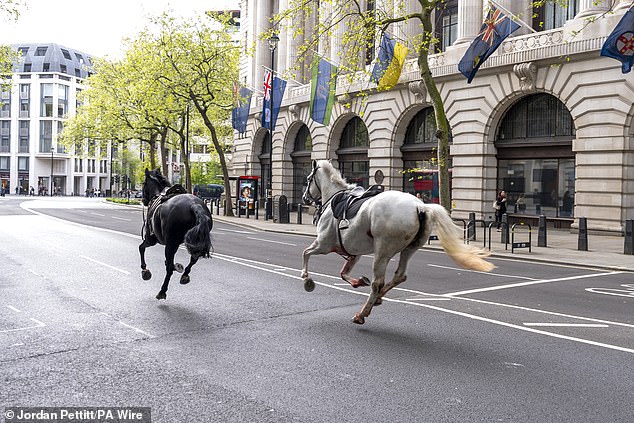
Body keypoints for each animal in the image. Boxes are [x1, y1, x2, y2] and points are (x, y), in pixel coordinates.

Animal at [138, 167, 212, 300]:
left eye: (143, 183)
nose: (144, 200)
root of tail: (194, 205)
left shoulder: (151, 240)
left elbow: (141, 248)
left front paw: (145, 270)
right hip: (194, 241)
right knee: (193, 259)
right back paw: (185, 275)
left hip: (170, 244)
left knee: (169, 268)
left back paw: (162, 291)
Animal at [302, 161, 494, 326]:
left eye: (308, 179)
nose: (304, 199)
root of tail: (420, 207)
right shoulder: (354, 251)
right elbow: (343, 273)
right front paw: (358, 281)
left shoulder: (323, 244)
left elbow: (306, 253)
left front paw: (307, 279)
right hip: (409, 249)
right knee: (399, 276)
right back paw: (378, 298)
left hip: (382, 251)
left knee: (378, 283)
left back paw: (362, 313)